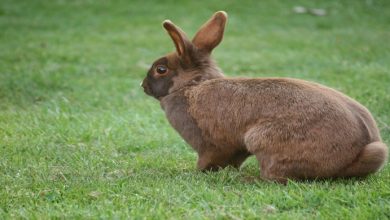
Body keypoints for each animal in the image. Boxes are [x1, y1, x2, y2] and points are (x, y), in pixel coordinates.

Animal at [140, 11, 386, 183]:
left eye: (161, 69)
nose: (142, 86)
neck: (191, 87)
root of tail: (359, 154)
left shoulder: (211, 145)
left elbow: (210, 159)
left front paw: (197, 173)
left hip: (261, 140)